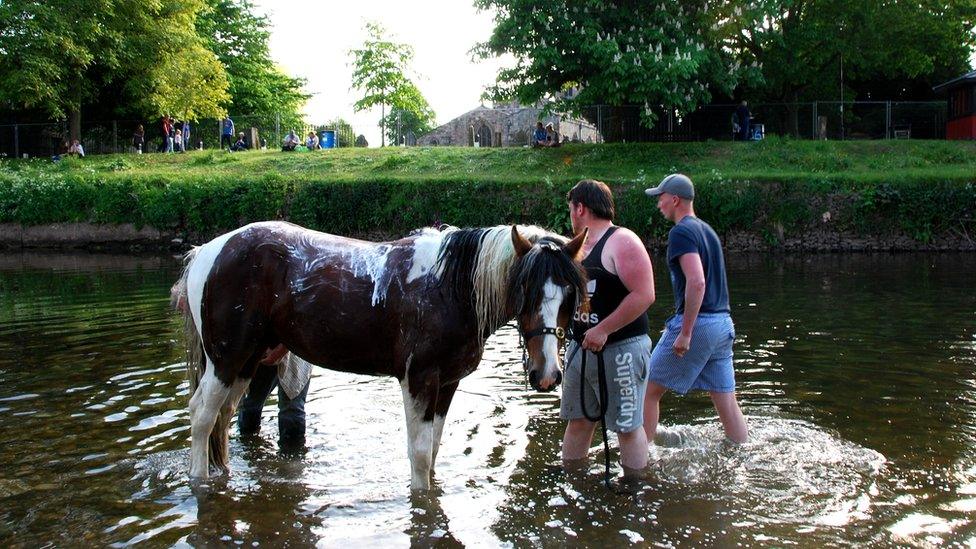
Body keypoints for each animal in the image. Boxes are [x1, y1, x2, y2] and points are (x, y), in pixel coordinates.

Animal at [173, 220, 588, 486]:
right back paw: (200, 481)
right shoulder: (418, 379)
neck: (448, 287)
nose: (547, 374)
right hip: (226, 359)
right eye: (525, 289)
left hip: (247, 361)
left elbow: (433, 451)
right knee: (202, 416)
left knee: (223, 417)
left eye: (570, 294)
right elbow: (418, 455)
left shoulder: (447, 384)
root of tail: (208, 251)